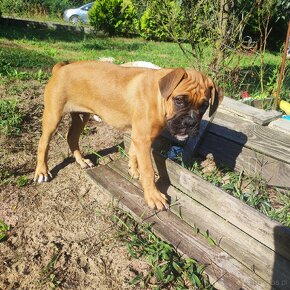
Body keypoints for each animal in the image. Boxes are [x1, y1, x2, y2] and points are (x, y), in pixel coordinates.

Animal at [35, 61, 223, 211]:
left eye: (204, 106)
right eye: (179, 100)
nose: (190, 123)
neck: (159, 97)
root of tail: (60, 68)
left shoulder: (138, 135)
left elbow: (133, 152)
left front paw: (133, 169)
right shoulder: (143, 139)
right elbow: (148, 170)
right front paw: (153, 196)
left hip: (81, 115)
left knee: (72, 137)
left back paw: (82, 161)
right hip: (53, 116)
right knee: (43, 143)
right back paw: (42, 171)